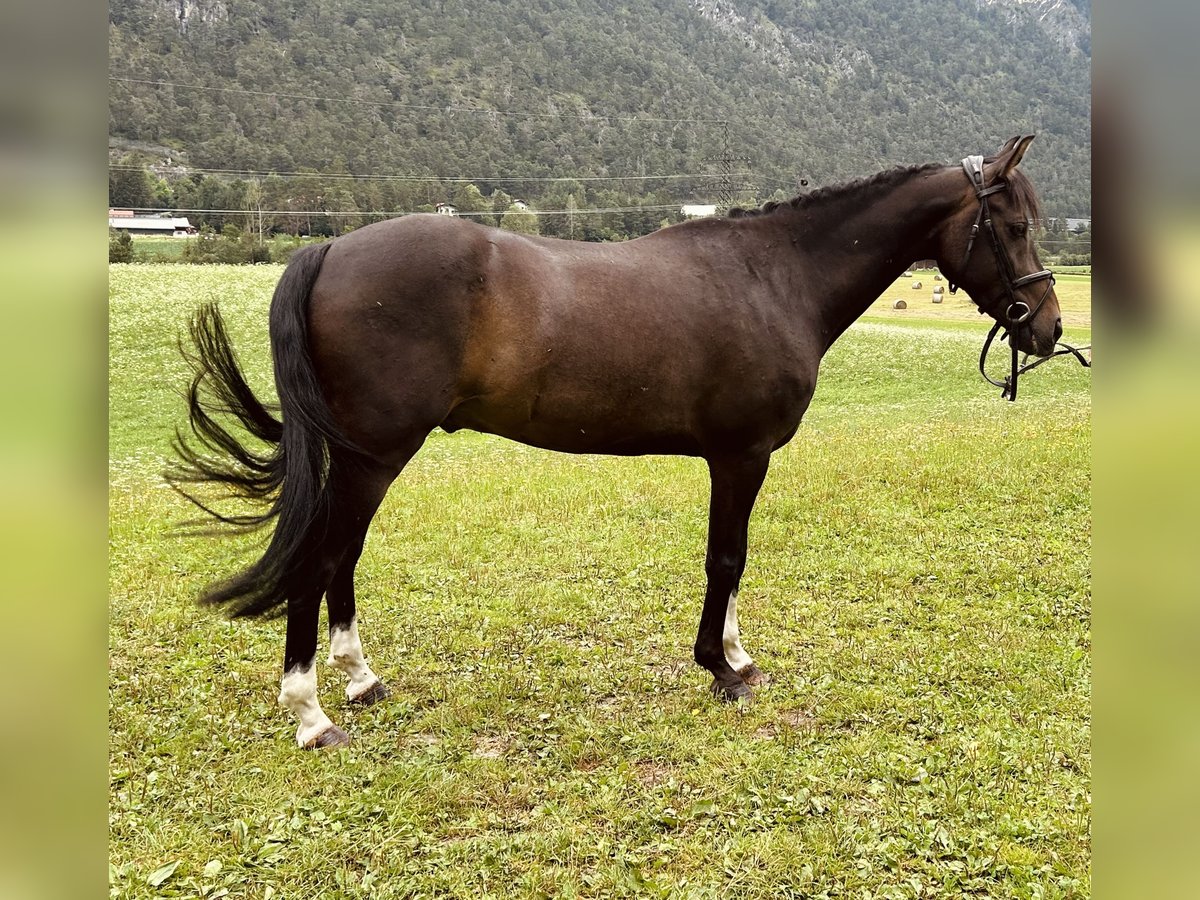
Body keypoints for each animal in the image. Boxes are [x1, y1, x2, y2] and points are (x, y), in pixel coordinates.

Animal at [175, 137, 1060, 748]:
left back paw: (360, 681)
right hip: (373, 457)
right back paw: (312, 713)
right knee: (321, 561)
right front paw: (722, 668)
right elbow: (727, 558)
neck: (775, 276)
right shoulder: (741, 455)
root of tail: (332, 248)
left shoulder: (736, 459)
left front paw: (734, 653)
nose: (1047, 328)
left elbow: (733, 561)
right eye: (1013, 225)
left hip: (367, 460)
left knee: (343, 561)